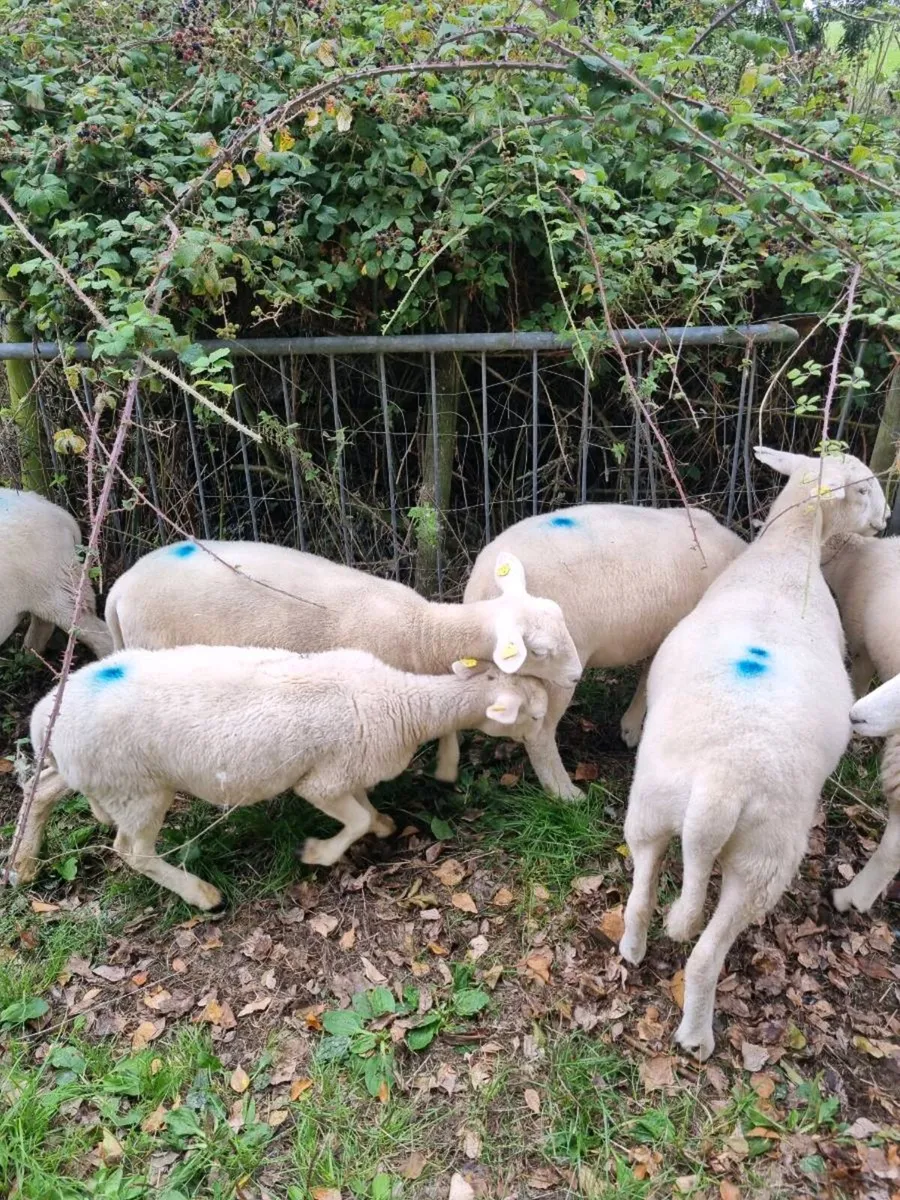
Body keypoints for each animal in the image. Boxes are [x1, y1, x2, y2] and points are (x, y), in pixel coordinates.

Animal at [9, 647, 549, 909]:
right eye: (536, 714)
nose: (551, 723)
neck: (403, 703)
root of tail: (45, 714)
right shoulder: (323, 780)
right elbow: (350, 819)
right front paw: (318, 853)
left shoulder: (348, 771)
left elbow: (365, 810)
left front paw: (382, 826)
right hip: (138, 787)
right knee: (132, 852)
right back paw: (202, 895)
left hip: (91, 771)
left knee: (41, 790)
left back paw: (24, 863)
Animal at [435, 505, 745, 800]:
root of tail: (482, 587)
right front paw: (633, 728)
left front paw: (631, 727)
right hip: (555, 672)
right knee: (540, 735)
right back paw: (565, 793)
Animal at [618, 447, 888, 1061]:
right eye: (863, 489)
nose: (886, 522)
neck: (787, 555)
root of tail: (720, 786)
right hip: (764, 861)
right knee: (704, 956)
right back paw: (696, 1037)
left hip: (651, 806)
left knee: (640, 896)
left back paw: (632, 951)